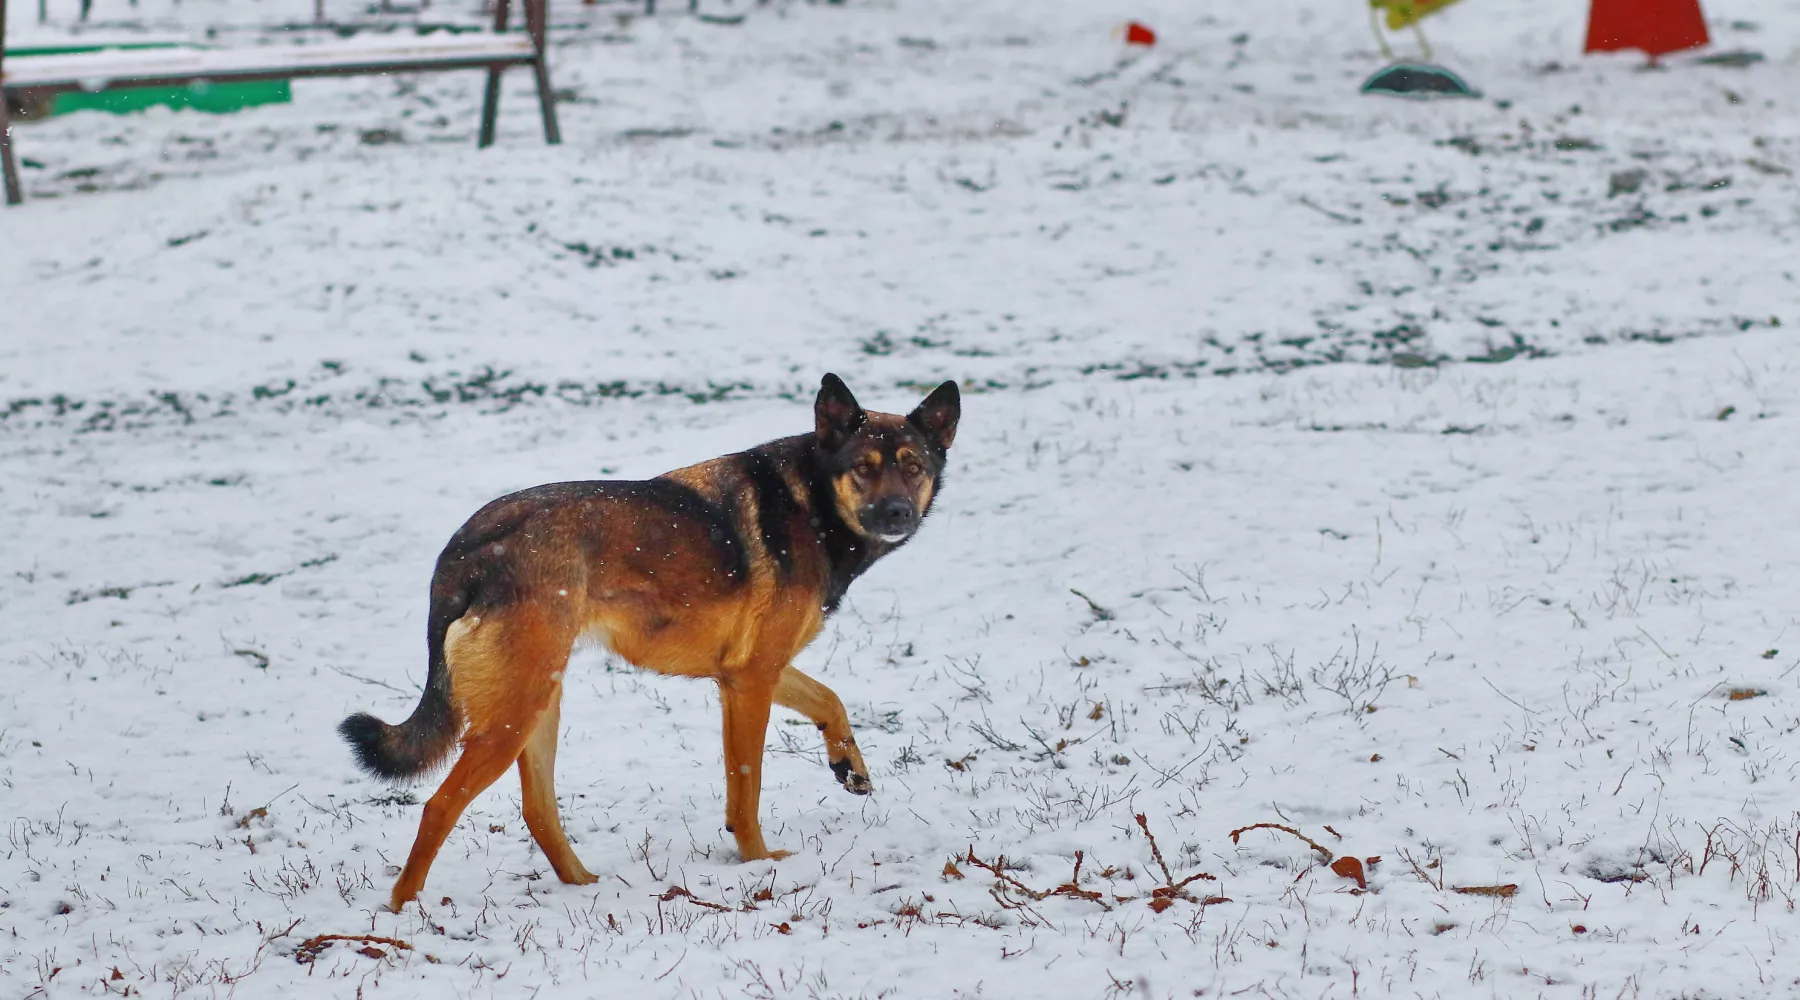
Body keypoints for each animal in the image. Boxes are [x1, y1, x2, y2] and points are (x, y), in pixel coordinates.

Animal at [338, 372, 957, 906]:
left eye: (913, 466)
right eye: (863, 467)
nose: (898, 512)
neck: (812, 500)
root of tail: (464, 548)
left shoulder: (747, 670)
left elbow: (829, 699)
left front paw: (849, 766)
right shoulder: (751, 679)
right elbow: (747, 787)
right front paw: (759, 863)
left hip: (537, 703)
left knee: (538, 811)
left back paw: (584, 886)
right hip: (513, 714)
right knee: (439, 806)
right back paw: (403, 911)